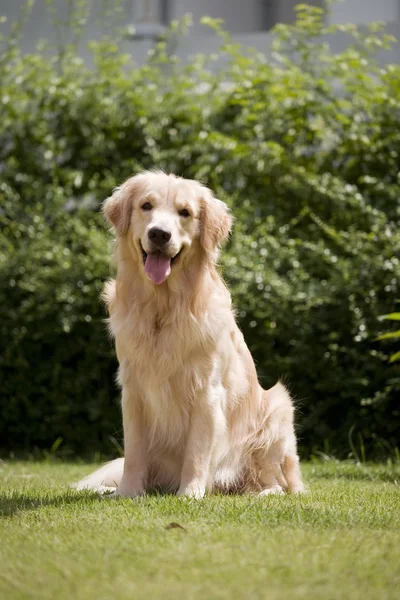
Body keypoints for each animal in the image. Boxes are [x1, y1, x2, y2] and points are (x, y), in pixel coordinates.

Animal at [76, 172, 304, 496]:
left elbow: (196, 452)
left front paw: (190, 494)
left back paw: (260, 493)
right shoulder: (133, 389)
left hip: (278, 410)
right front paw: (128, 492)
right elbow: (134, 452)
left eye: (185, 212)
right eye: (146, 205)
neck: (163, 309)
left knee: (277, 483)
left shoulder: (206, 391)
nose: (160, 234)